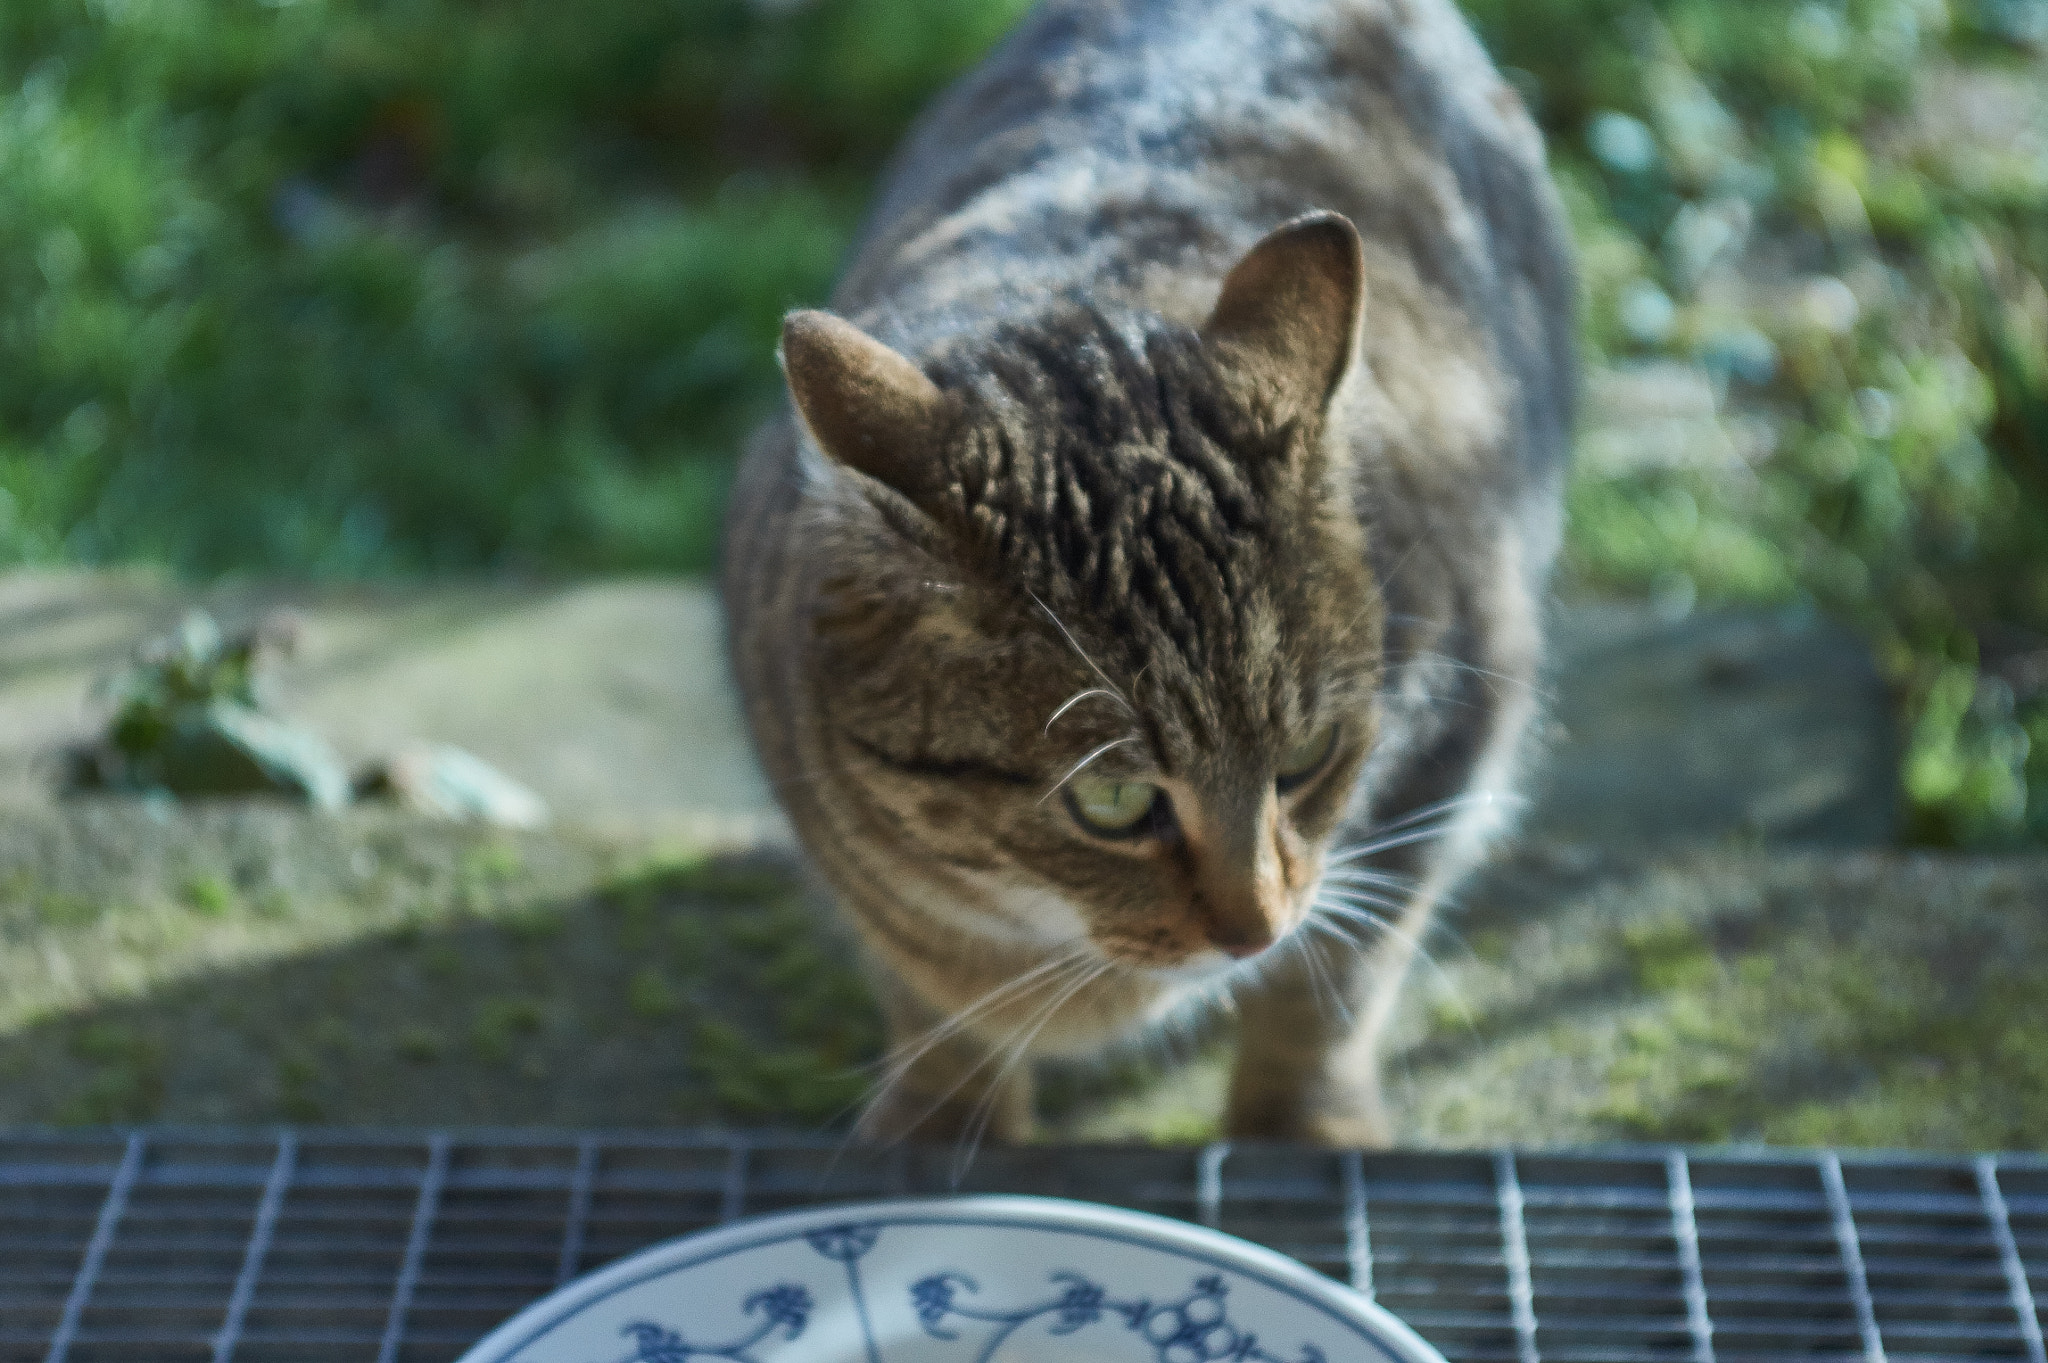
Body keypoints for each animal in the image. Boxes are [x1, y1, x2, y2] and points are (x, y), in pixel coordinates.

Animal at [729, 0, 1572, 1137]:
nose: (1252, 929)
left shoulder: (1450, 743)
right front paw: (941, 1117)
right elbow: (928, 995)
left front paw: (1298, 1122)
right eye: (1114, 801)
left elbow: (1338, 984)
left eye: (1306, 755)